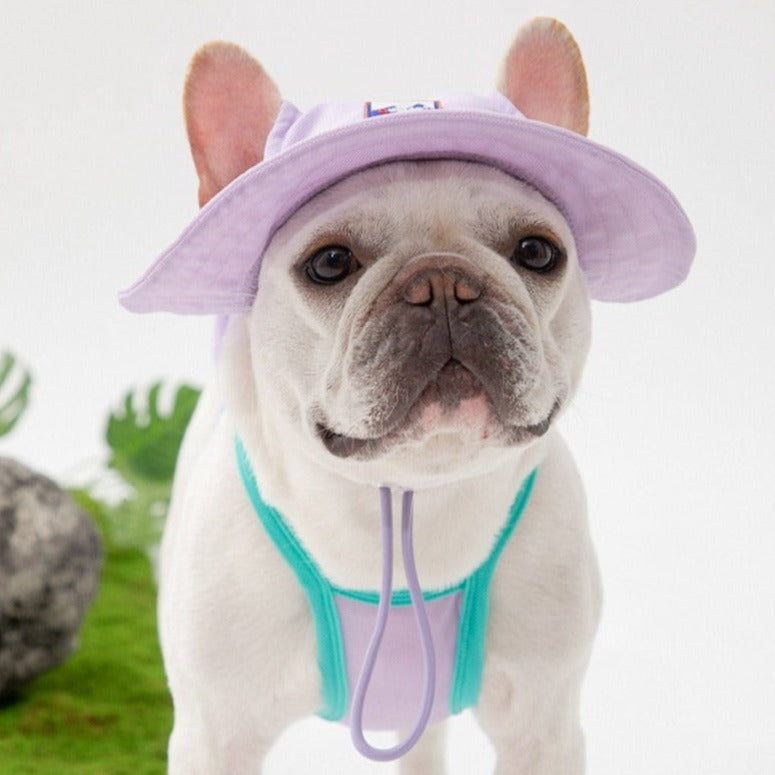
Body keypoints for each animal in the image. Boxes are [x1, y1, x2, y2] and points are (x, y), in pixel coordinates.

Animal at [123, 13, 696, 775]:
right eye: (329, 263)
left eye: (537, 251)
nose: (444, 283)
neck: (410, 496)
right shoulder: (216, 734)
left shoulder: (542, 726)